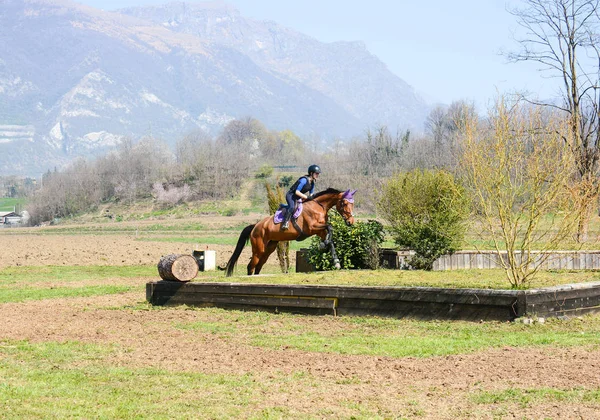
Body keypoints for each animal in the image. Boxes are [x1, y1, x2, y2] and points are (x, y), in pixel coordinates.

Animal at [225, 189, 356, 278]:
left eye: (352, 204)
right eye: (344, 203)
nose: (350, 222)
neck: (318, 206)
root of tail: (255, 226)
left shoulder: (320, 231)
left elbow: (330, 240)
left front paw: (336, 261)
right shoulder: (312, 228)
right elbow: (330, 227)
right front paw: (323, 245)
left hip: (269, 248)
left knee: (259, 265)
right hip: (259, 248)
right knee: (251, 265)